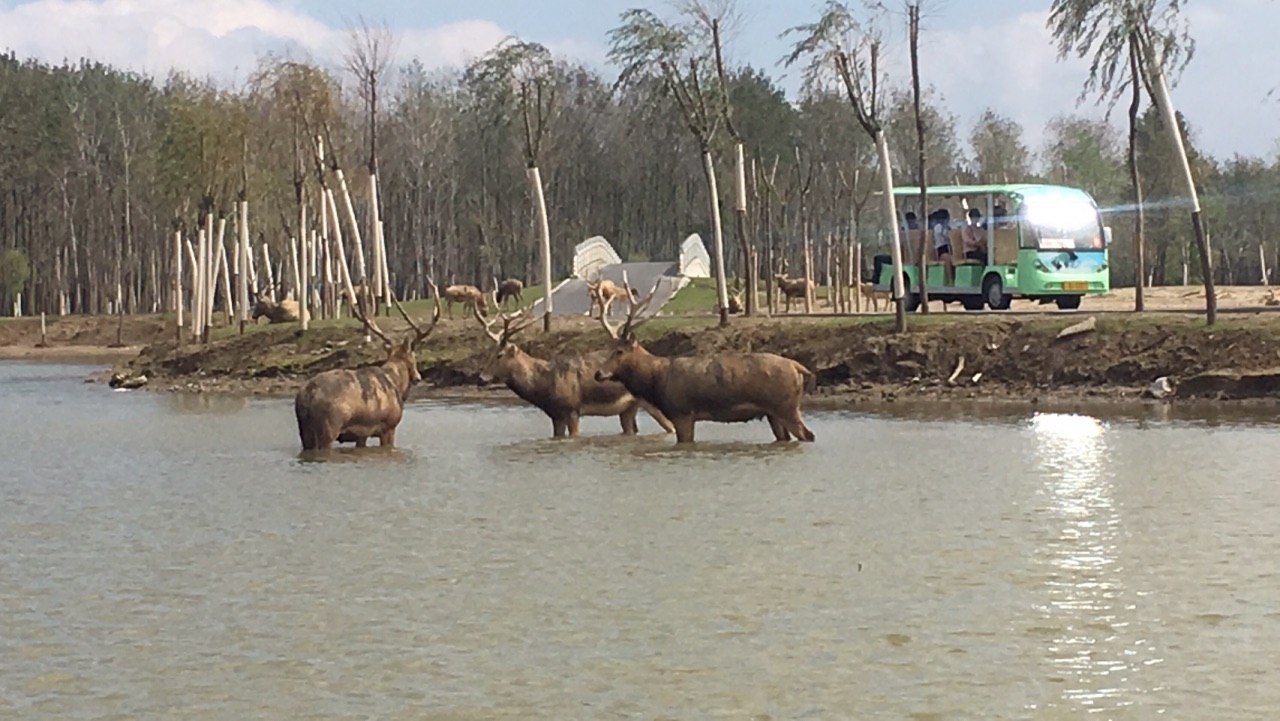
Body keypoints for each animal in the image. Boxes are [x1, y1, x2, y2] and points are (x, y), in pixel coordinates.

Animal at [293, 281, 442, 450]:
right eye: (414, 355)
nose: (418, 377)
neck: (397, 383)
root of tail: (306, 397)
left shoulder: (362, 434)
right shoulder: (389, 426)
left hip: (305, 431)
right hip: (329, 427)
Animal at [473, 303, 675, 437]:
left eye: (500, 355)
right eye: (490, 352)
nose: (481, 378)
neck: (543, 386)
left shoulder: (572, 410)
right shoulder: (555, 415)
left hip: (652, 403)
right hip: (629, 407)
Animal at [591, 277, 814, 443]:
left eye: (620, 351)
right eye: (608, 348)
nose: (598, 373)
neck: (657, 380)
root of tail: (798, 367)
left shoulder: (682, 413)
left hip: (786, 407)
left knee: (808, 435)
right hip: (773, 413)